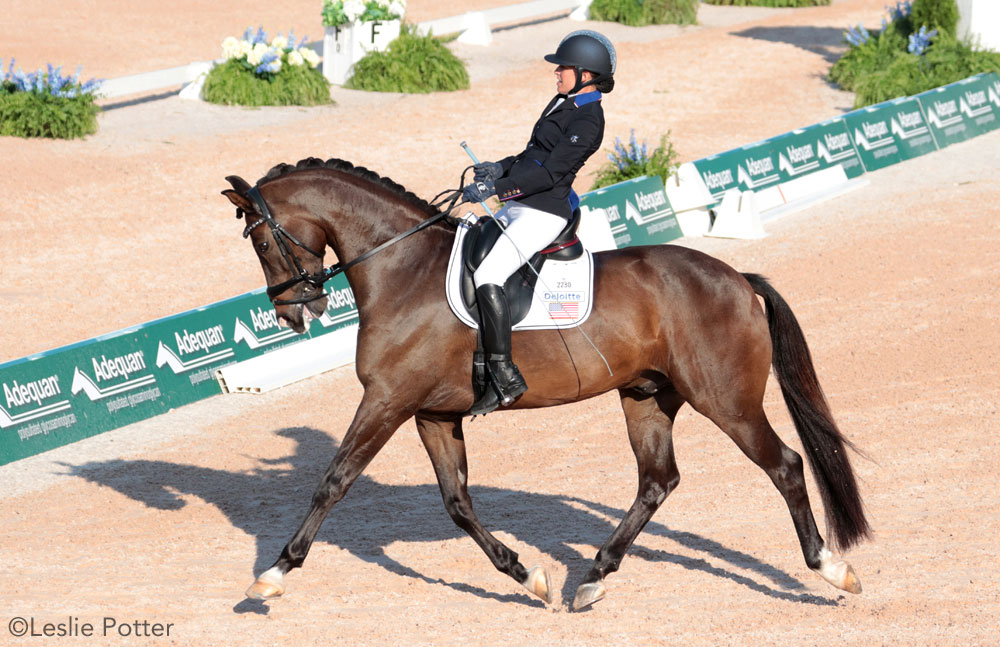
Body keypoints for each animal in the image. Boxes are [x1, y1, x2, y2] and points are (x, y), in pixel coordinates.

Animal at [223, 157, 872, 612]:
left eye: (262, 241)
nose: (293, 313)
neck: (403, 270)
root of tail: (736, 276)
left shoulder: (387, 400)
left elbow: (333, 482)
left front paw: (272, 574)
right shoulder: (431, 413)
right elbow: (457, 503)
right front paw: (527, 575)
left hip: (727, 401)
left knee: (784, 465)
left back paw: (831, 568)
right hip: (646, 397)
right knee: (657, 481)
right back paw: (590, 578)